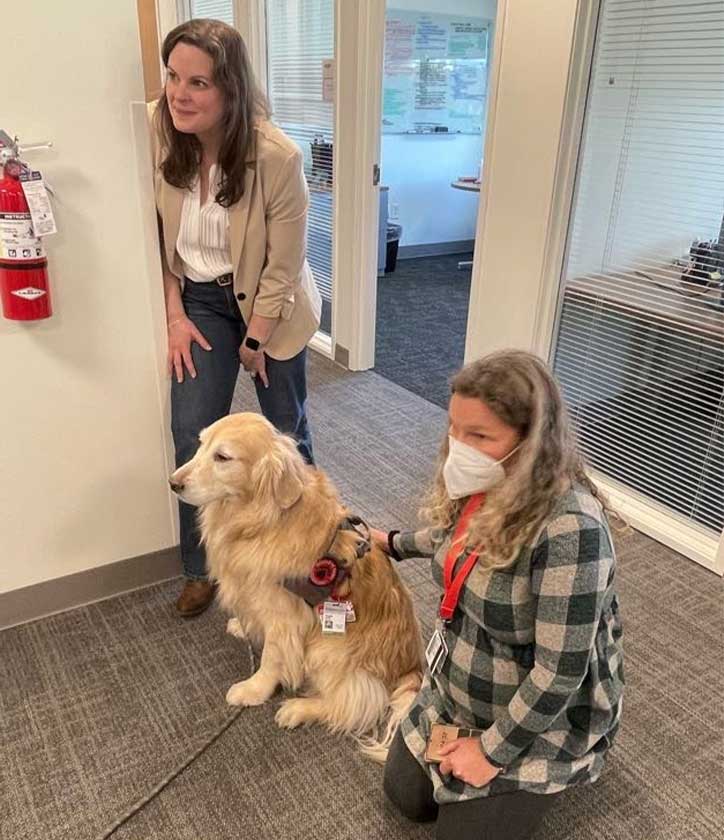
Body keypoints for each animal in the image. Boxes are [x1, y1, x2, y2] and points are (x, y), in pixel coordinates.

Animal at [170, 414, 424, 760]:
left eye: (222, 457)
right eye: (201, 444)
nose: (173, 482)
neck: (261, 520)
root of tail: (413, 668)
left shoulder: (286, 617)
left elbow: (271, 659)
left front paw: (253, 689)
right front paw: (241, 626)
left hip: (327, 649)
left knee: (356, 704)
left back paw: (299, 709)